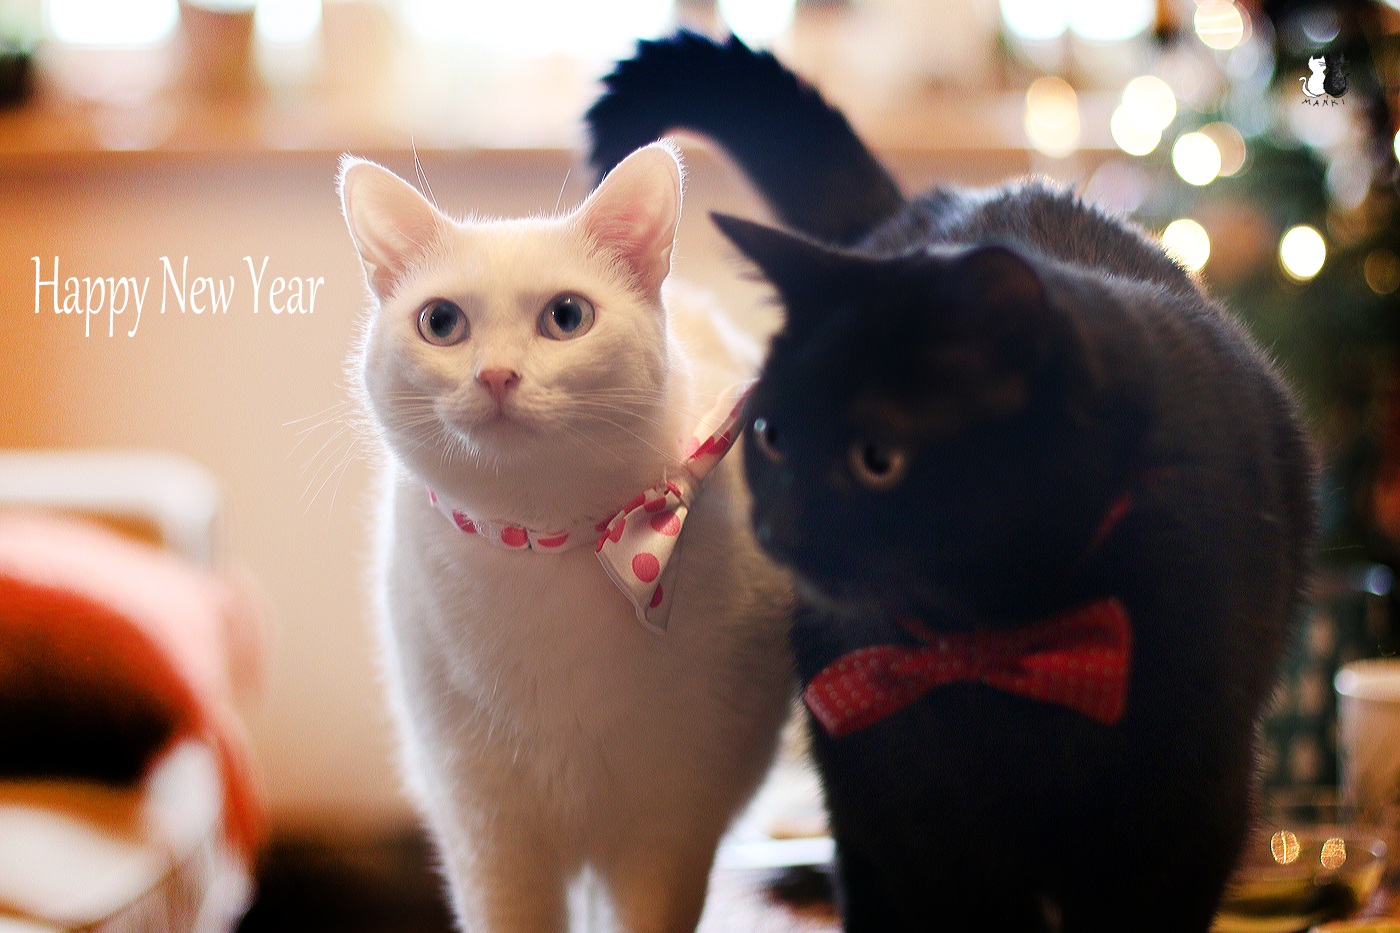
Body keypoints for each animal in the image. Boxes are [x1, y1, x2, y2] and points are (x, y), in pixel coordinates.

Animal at [337, 141, 794, 933]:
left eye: (567, 316)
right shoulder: (487, 831)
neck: (545, 543)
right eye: (440, 322)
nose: (496, 375)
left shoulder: (668, 832)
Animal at [588, 32, 1317, 933]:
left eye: (879, 458)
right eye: (769, 435)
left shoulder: (1185, 819)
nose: (777, 527)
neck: (1000, 637)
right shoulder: (908, 822)